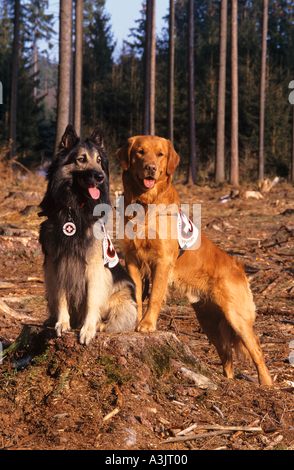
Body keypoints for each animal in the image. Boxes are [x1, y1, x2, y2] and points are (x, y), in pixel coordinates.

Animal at [38, 125, 138, 346]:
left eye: (99, 160)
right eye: (81, 159)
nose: (100, 176)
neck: (73, 209)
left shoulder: (95, 267)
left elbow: (92, 300)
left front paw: (88, 328)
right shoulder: (56, 264)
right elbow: (61, 297)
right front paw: (62, 323)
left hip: (122, 293)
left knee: (116, 319)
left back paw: (99, 325)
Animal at [116, 135, 272, 386]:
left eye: (160, 155)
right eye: (140, 152)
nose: (151, 168)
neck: (146, 205)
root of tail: (239, 267)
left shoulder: (162, 261)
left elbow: (155, 296)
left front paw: (147, 325)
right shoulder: (132, 260)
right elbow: (137, 296)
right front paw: (135, 322)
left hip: (236, 316)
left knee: (255, 347)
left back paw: (267, 384)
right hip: (209, 322)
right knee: (226, 352)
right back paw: (227, 381)